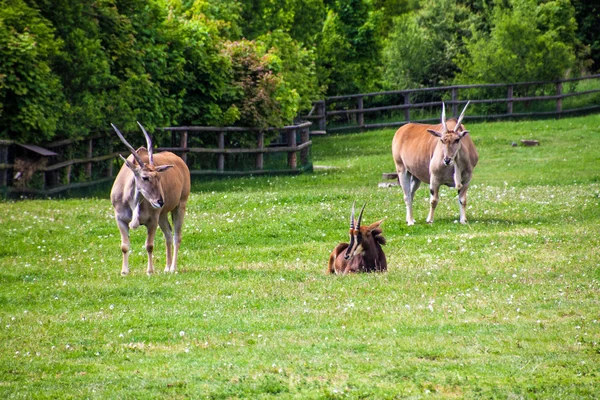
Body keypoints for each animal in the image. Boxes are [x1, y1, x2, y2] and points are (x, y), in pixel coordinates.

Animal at [109, 122, 190, 276]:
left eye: (159, 177)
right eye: (145, 177)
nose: (160, 201)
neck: (133, 202)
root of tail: (181, 162)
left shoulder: (152, 220)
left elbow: (149, 246)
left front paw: (150, 271)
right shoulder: (120, 219)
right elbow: (124, 246)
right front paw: (124, 271)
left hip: (180, 205)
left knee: (177, 236)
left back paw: (173, 268)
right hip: (162, 214)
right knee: (168, 234)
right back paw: (167, 267)